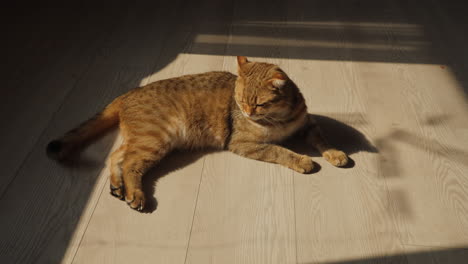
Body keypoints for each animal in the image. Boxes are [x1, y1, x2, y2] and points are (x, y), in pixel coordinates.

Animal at [46, 56, 348, 211]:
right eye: (240, 100)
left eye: (259, 103)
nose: (247, 112)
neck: (278, 118)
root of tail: (129, 92)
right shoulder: (244, 143)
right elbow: (280, 150)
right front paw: (303, 160)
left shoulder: (307, 124)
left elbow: (323, 139)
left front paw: (336, 154)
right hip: (155, 139)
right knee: (130, 162)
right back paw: (136, 195)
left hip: (143, 139)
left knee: (117, 156)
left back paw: (117, 186)